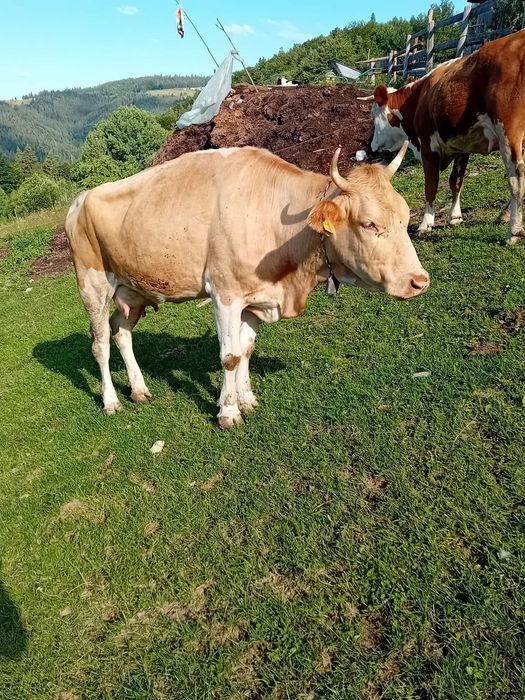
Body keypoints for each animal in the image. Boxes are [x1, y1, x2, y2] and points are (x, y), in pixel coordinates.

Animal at [65, 145, 429, 428]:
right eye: (369, 224)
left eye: (404, 216)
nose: (419, 281)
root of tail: (81, 198)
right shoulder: (224, 294)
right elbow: (229, 355)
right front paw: (228, 412)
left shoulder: (257, 299)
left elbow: (246, 350)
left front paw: (246, 397)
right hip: (92, 285)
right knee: (100, 344)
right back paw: (111, 401)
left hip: (133, 290)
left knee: (121, 332)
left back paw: (139, 390)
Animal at [360, 30, 525, 244]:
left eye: (373, 116)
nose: (371, 146)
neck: (418, 98)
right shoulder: (462, 145)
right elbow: (456, 181)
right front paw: (455, 217)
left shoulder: (428, 147)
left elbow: (431, 185)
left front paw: (426, 224)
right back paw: (503, 215)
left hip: (509, 132)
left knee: (517, 176)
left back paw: (514, 230)